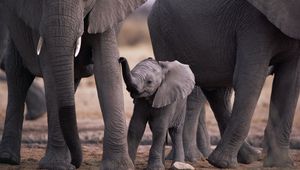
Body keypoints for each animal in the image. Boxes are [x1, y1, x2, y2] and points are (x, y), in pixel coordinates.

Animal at [0, 0, 145, 169]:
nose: (76, 163)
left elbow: (107, 66)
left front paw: (119, 166)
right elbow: (50, 71)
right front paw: (55, 166)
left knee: (72, 76)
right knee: (18, 73)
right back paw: (8, 159)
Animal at [148, 0, 300, 168]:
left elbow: (289, 84)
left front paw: (280, 164)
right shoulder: (252, 23)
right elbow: (250, 79)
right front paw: (222, 164)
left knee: (215, 91)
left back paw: (250, 157)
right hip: (162, 34)